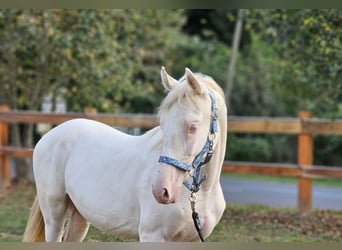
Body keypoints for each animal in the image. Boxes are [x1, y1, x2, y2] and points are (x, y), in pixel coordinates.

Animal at [23, 67, 227, 242]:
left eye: (193, 127)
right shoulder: (152, 236)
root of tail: (48, 136)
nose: (161, 191)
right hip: (54, 215)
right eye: (162, 123)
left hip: (79, 216)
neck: (200, 195)